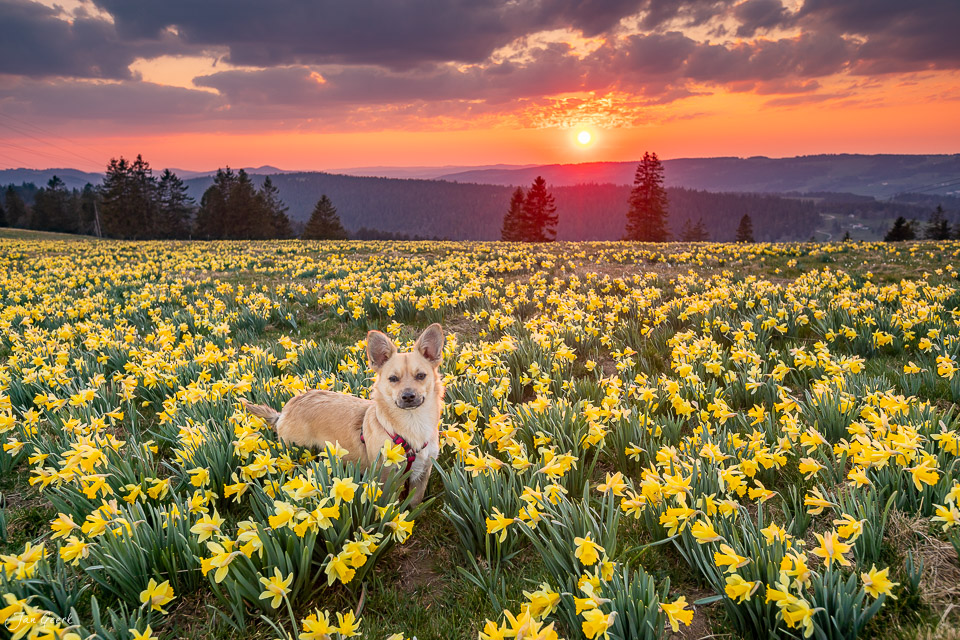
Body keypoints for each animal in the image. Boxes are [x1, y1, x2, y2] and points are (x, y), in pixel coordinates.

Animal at [246, 324, 444, 504]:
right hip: (296, 450)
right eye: (393, 379)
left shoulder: (422, 473)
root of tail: (284, 412)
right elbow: (389, 505)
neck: (412, 424)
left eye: (421, 376)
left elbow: (414, 504)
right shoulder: (386, 477)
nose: (408, 396)